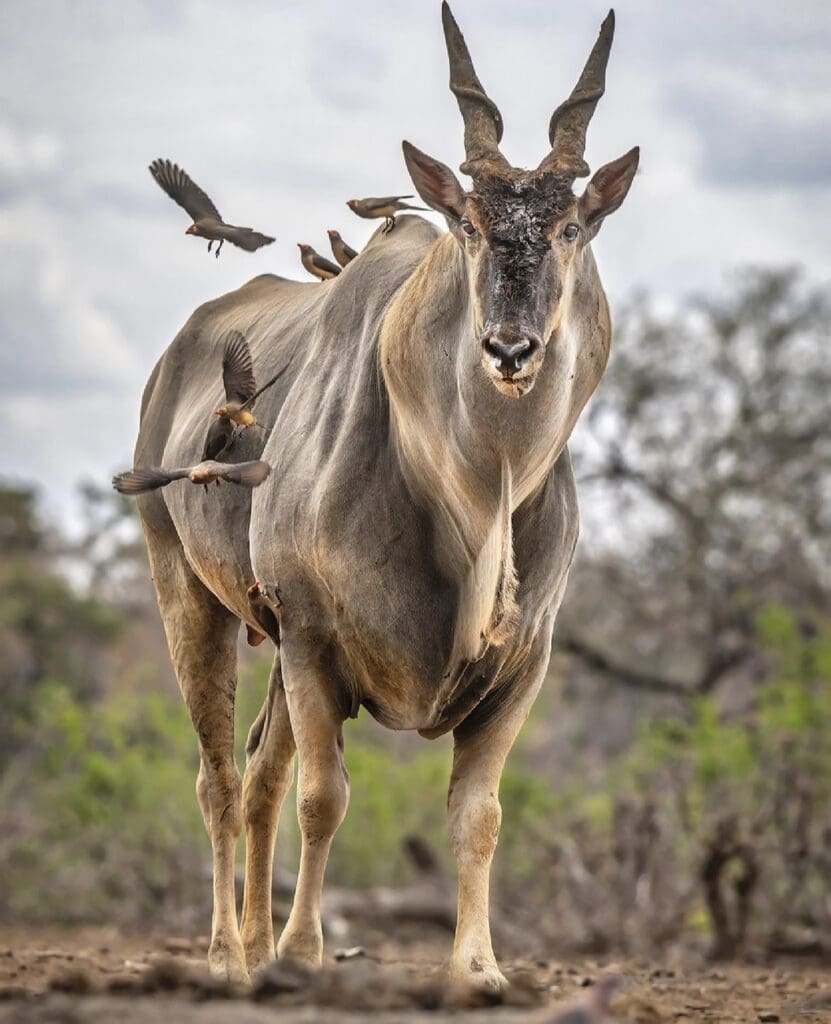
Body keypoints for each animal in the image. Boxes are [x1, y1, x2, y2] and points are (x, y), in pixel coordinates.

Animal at [133, 2, 638, 991]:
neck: (469, 497)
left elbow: (477, 813)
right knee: (222, 779)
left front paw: (476, 969)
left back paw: (253, 951)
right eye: (468, 225)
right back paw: (229, 956)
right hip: (194, 601)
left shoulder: (522, 665)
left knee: (258, 771)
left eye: (570, 229)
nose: (509, 348)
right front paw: (304, 953)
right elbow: (325, 798)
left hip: (273, 643)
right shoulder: (314, 638)